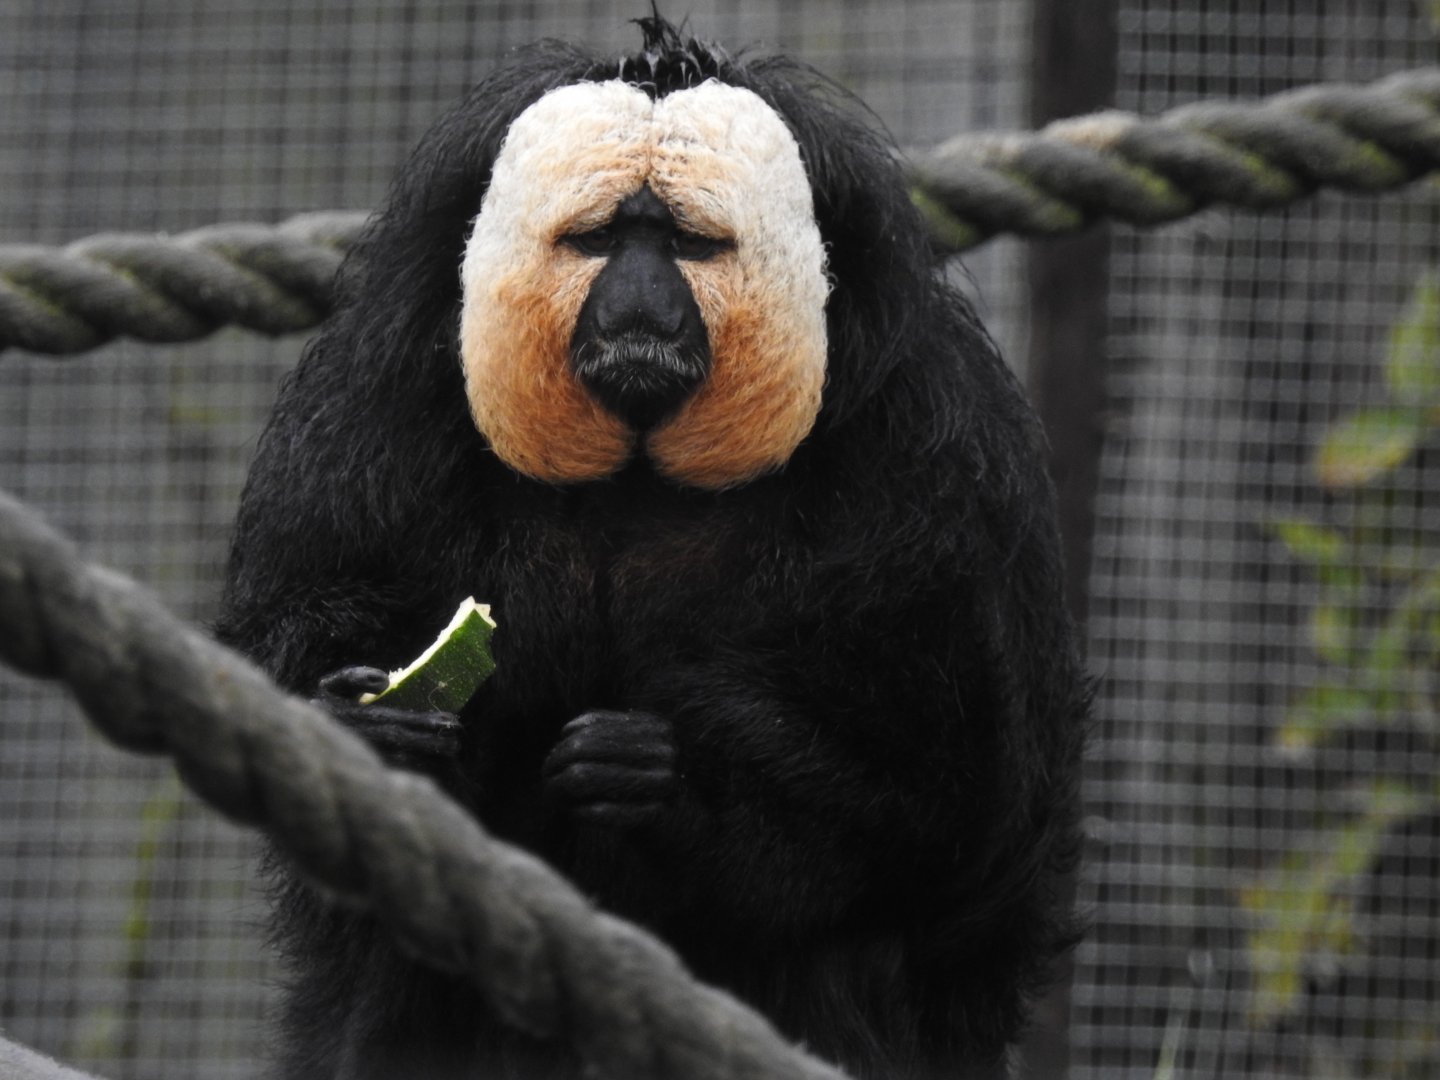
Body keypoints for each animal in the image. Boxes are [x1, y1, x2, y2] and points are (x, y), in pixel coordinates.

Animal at [216, 17, 1088, 1080]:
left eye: (687, 245)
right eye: (598, 241)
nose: (638, 304)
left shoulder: (940, 460)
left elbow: (952, 801)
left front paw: (663, 785)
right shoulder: (372, 406)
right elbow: (306, 613)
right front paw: (371, 726)